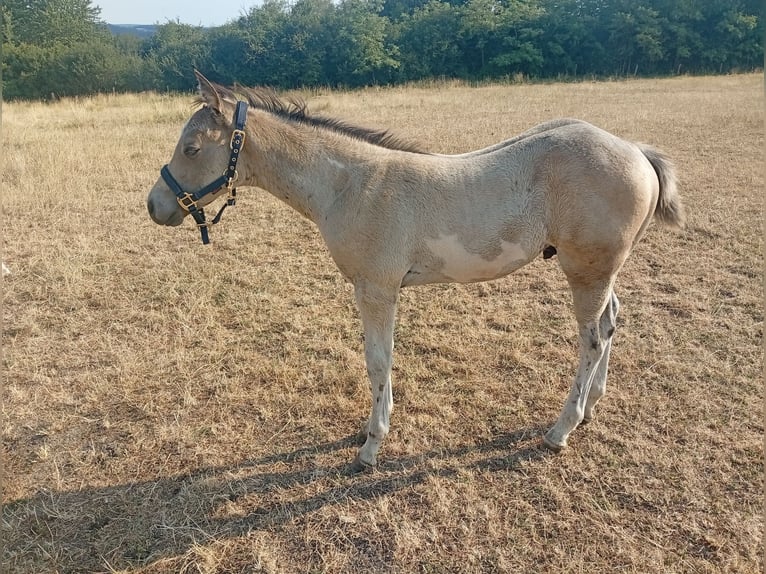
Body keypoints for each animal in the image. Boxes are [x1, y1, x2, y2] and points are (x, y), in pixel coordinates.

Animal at [147, 71, 685, 469]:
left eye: (192, 148)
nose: (155, 206)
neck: (350, 185)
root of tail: (636, 151)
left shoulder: (376, 290)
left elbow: (377, 361)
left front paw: (371, 445)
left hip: (585, 271)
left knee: (591, 339)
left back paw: (561, 429)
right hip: (603, 272)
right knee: (612, 323)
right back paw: (591, 408)